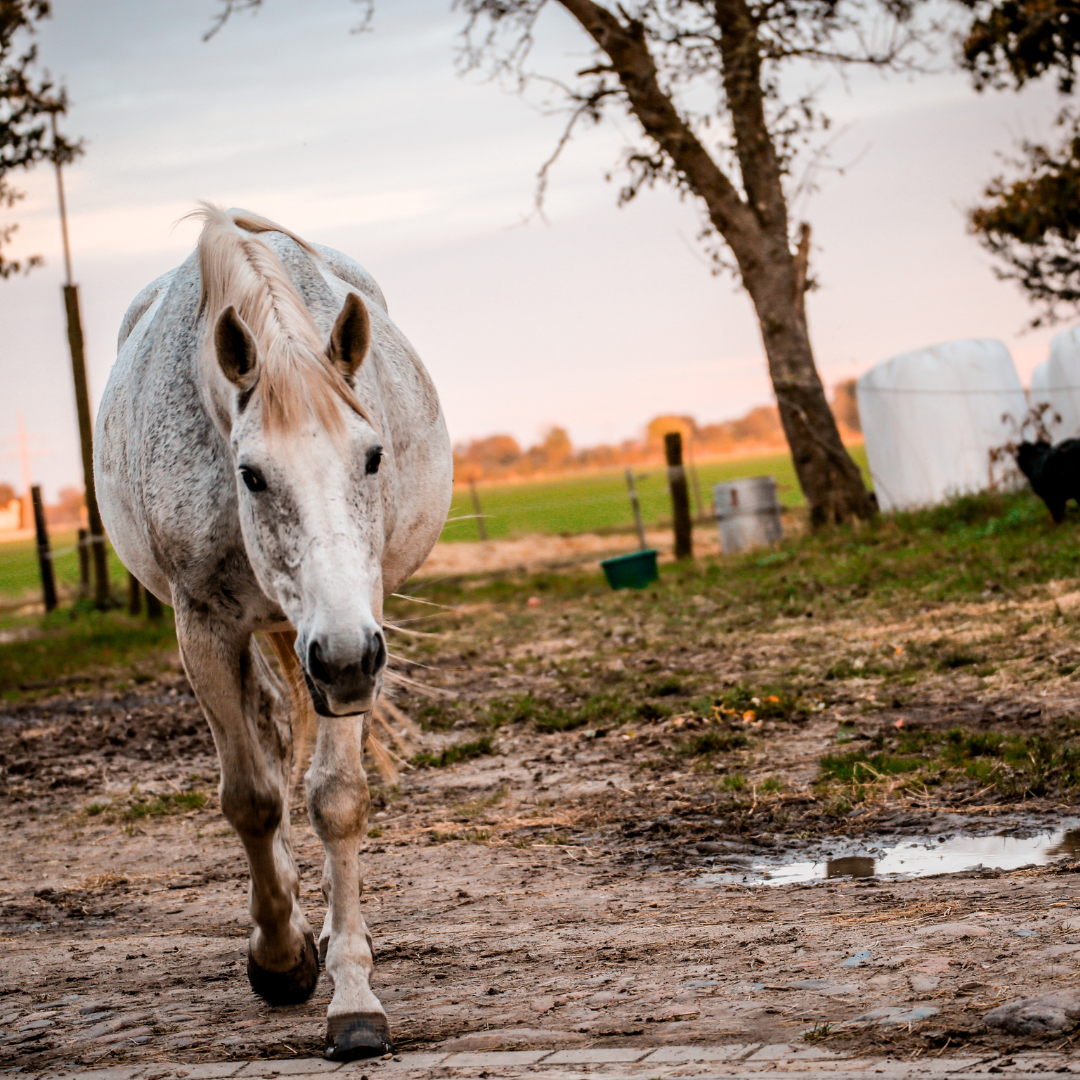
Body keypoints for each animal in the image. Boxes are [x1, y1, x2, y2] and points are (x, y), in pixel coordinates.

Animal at [95, 206, 453, 1058]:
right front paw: (280, 958)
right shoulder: (204, 627)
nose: (347, 659)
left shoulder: (354, 631)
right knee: (264, 733)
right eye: (251, 474)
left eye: (373, 456)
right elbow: (254, 798)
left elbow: (337, 799)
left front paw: (353, 996)